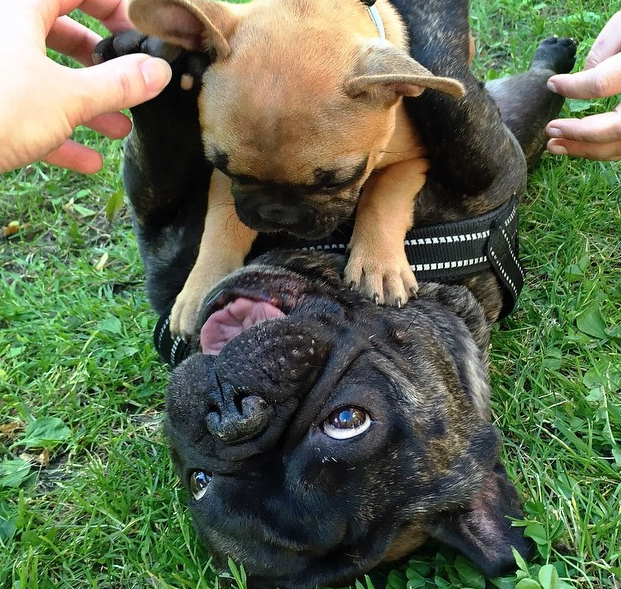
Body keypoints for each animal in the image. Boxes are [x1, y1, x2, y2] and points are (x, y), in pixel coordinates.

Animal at [127, 0, 464, 340]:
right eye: (231, 172)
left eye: (336, 183)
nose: (278, 213)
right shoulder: (224, 182)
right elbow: (221, 226)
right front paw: (201, 285)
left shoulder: (412, 159)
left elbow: (383, 197)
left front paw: (377, 264)